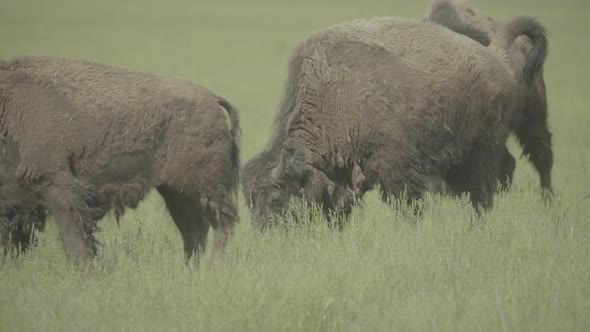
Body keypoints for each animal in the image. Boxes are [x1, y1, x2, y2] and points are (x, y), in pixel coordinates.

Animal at [0, 57, 240, 264]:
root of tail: (213, 99)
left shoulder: (58, 188)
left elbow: (76, 240)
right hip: (175, 190)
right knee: (194, 229)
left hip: (205, 186)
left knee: (222, 223)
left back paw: (213, 265)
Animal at [242, 16, 552, 228]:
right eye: (250, 200)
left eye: (276, 198)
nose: (264, 232)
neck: (337, 96)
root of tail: (495, 56)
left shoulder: (397, 170)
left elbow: (406, 204)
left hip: (492, 145)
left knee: (497, 184)